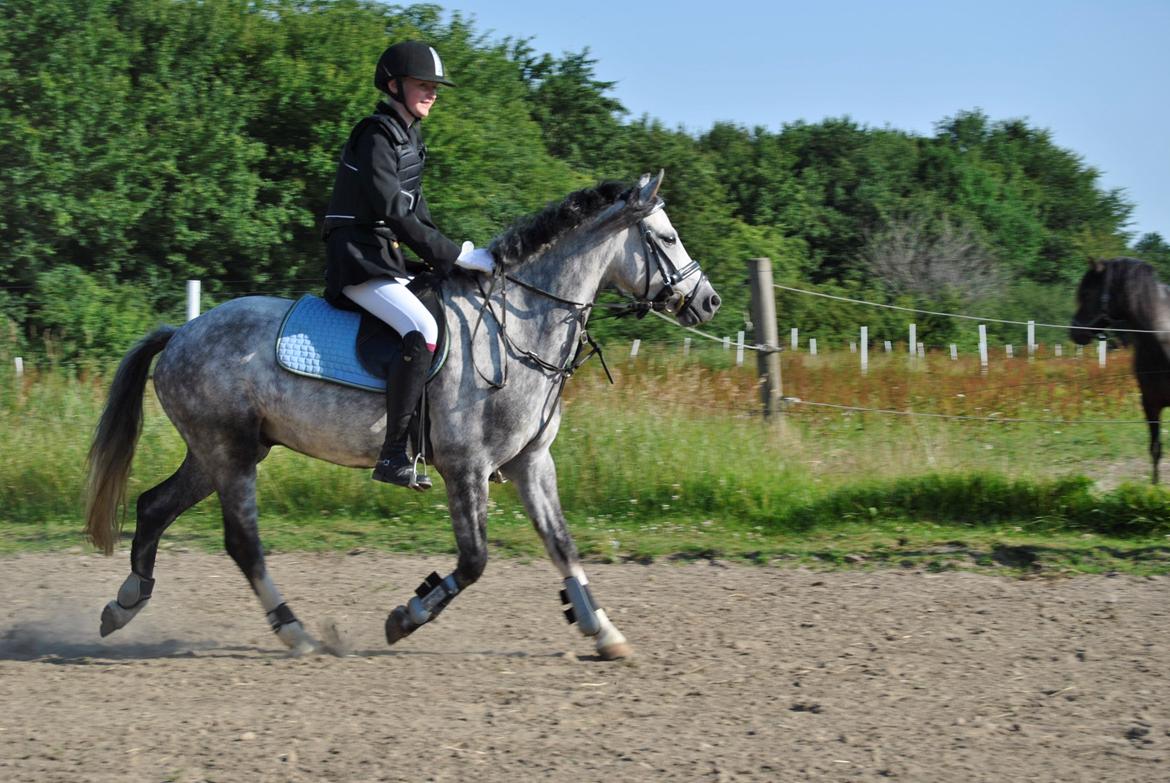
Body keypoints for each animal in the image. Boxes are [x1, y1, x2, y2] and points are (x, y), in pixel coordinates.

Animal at [85, 171, 721, 659]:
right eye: (667, 236)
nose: (708, 301)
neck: (518, 325)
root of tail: (180, 333)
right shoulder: (466, 467)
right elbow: (474, 561)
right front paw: (407, 616)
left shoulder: (531, 463)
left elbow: (562, 543)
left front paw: (603, 631)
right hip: (231, 454)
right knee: (243, 543)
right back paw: (296, 633)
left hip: (218, 452)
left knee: (154, 506)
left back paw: (125, 603)